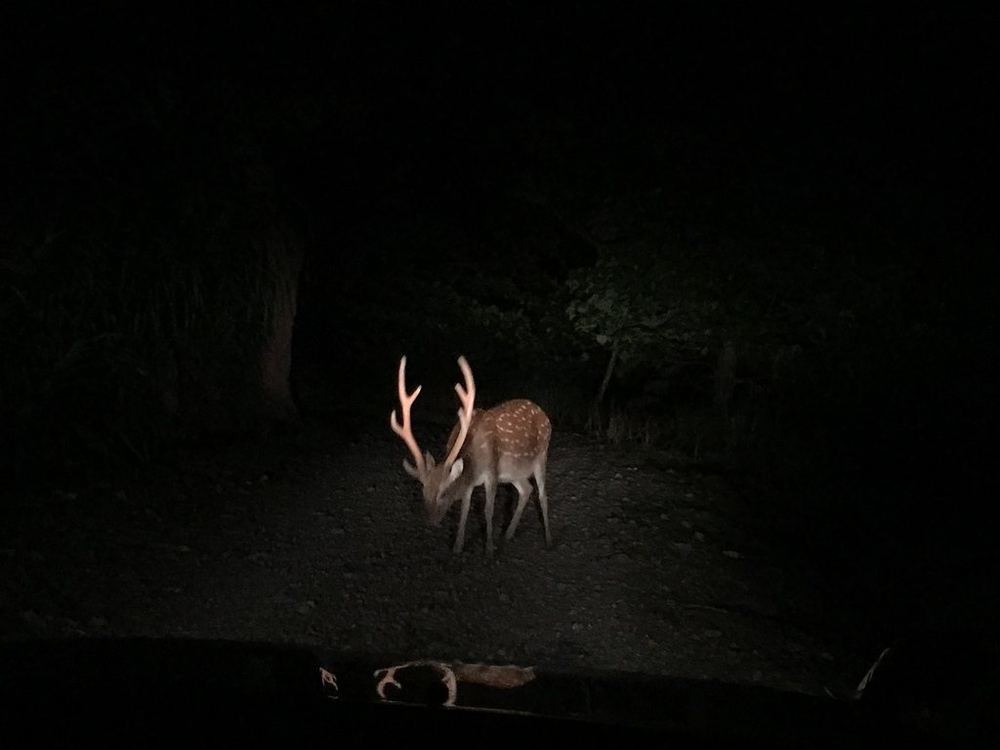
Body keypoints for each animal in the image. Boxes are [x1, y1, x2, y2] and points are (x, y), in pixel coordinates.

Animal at [390, 354, 552, 555]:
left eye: (444, 492)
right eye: (423, 492)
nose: (431, 521)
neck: (474, 464)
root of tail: (543, 413)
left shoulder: (492, 471)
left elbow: (488, 509)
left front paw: (489, 549)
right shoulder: (469, 481)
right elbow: (465, 510)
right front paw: (457, 546)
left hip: (541, 455)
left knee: (542, 494)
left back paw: (548, 539)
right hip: (515, 473)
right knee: (526, 489)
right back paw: (508, 534)